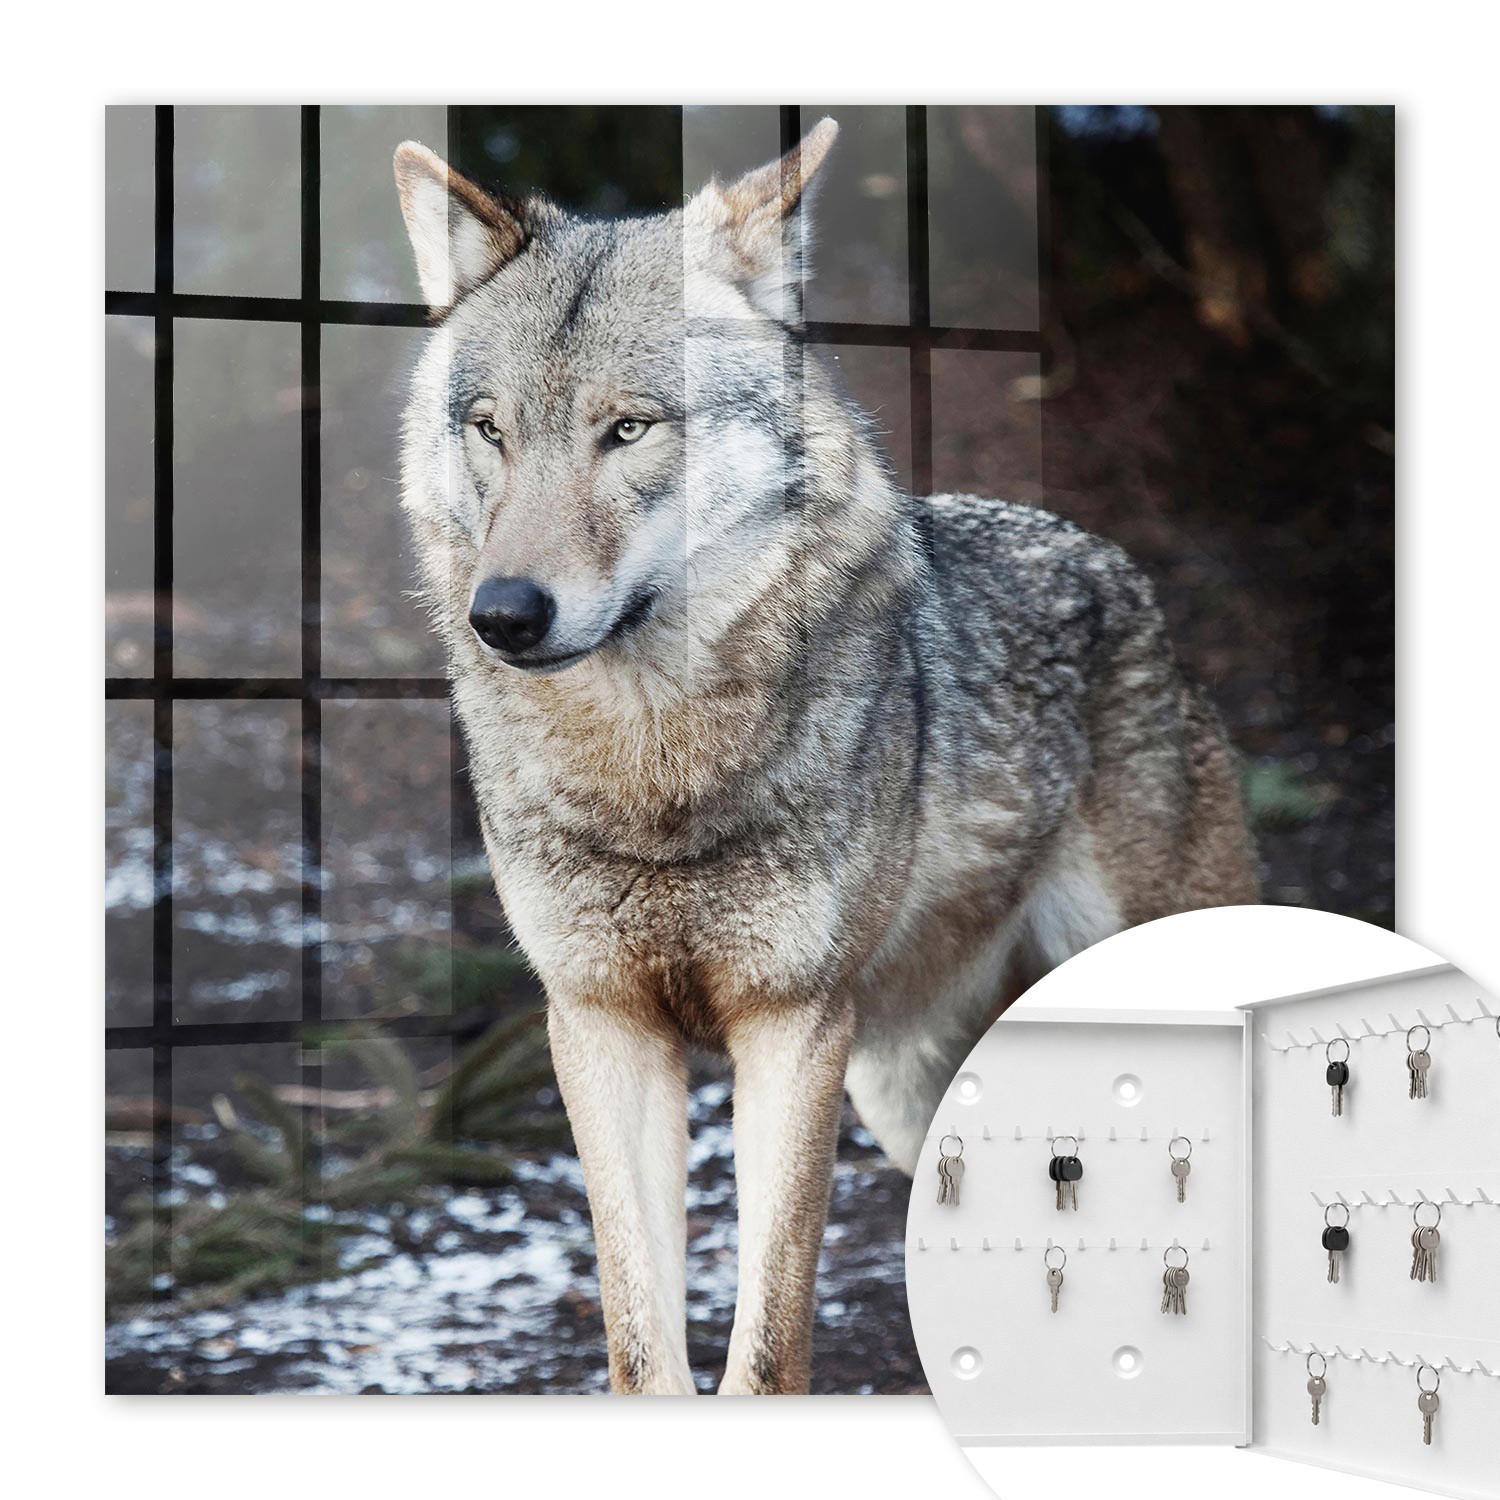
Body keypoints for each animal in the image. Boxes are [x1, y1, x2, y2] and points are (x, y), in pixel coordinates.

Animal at [392, 118, 1257, 1396]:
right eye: (491, 429)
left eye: (628, 427)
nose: (503, 614)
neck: (654, 773)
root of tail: (1120, 570)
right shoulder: (601, 1028)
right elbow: (642, 1349)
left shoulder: (792, 1027)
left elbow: (768, 1347)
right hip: (907, 1093)